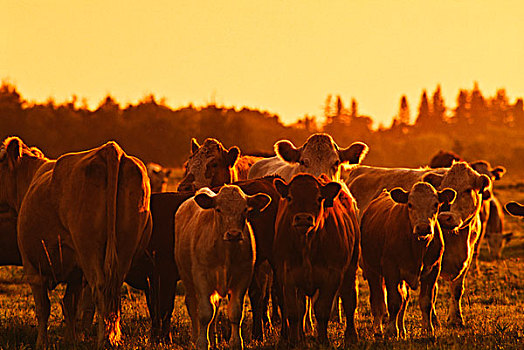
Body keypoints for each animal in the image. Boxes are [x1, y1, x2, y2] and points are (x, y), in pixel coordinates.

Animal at [0, 137, 151, 348]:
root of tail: (111, 149)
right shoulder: (75, 272)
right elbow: (69, 305)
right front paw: (71, 340)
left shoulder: (33, 267)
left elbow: (43, 308)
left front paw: (41, 343)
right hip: (124, 251)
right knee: (113, 291)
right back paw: (113, 338)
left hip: (88, 250)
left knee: (101, 288)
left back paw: (104, 340)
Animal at [175, 186, 270, 350]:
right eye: (218, 209)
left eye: (245, 209)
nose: (234, 234)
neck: (226, 253)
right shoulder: (201, 277)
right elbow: (205, 313)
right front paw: (201, 342)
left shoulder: (243, 277)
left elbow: (235, 312)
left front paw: (236, 342)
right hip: (187, 278)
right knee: (193, 306)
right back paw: (195, 337)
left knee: (215, 307)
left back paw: (213, 340)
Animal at [270, 175, 360, 348]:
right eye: (290, 197)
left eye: (319, 198)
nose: (303, 218)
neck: (307, 244)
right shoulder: (287, 275)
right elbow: (294, 311)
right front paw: (295, 341)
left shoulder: (333, 275)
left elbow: (322, 310)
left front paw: (323, 341)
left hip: (351, 268)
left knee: (349, 299)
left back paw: (351, 337)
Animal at [346, 163, 490, 326]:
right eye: (442, 186)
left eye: (467, 190)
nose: (445, 217)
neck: (457, 239)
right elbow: (432, 293)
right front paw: (434, 320)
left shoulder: (466, 258)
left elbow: (457, 289)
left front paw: (456, 319)